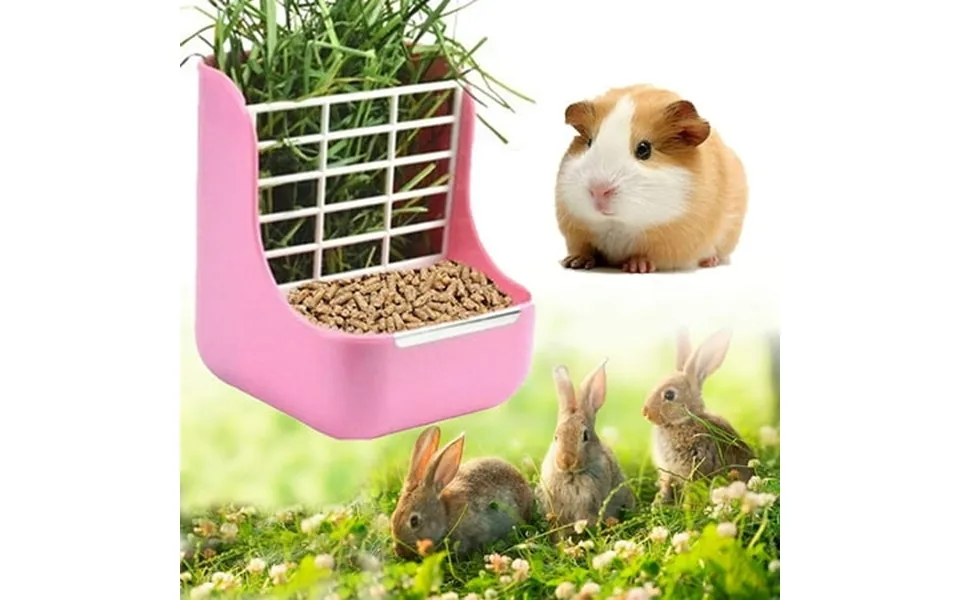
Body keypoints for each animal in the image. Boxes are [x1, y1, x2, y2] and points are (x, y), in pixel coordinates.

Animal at [555, 84, 748, 273]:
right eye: (589, 143)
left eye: (644, 149)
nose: (598, 190)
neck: (617, 224)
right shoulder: (577, 232)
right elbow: (585, 248)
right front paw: (573, 262)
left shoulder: (669, 244)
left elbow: (646, 255)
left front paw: (636, 267)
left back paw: (710, 261)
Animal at [642, 328, 755, 504]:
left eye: (669, 395)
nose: (645, 412)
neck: (683, 422)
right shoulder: (668, 471)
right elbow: (666, 485)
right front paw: (658, 503)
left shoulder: (693, 467)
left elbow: (691, 490)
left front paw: (686, 507)